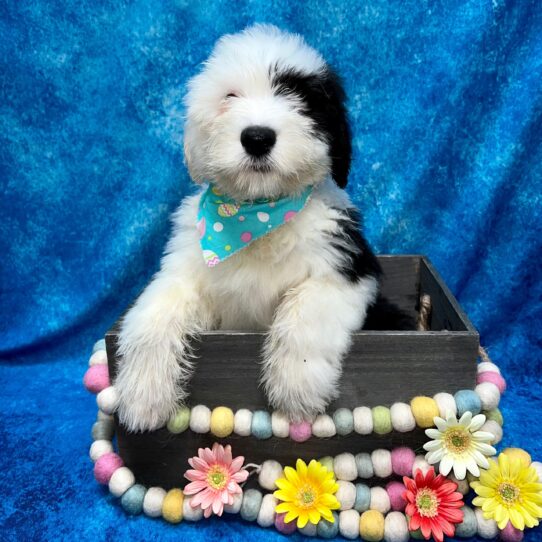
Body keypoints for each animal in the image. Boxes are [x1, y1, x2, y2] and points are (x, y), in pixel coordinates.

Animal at [116, 24, 404, 434]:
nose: (257, 137)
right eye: (230, 96)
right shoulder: (187, 269)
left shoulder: (347, 268)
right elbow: (154, 312)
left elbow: (306, 309)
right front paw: (143, 394)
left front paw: (297, 387)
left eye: (300, 99)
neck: (258, 216)